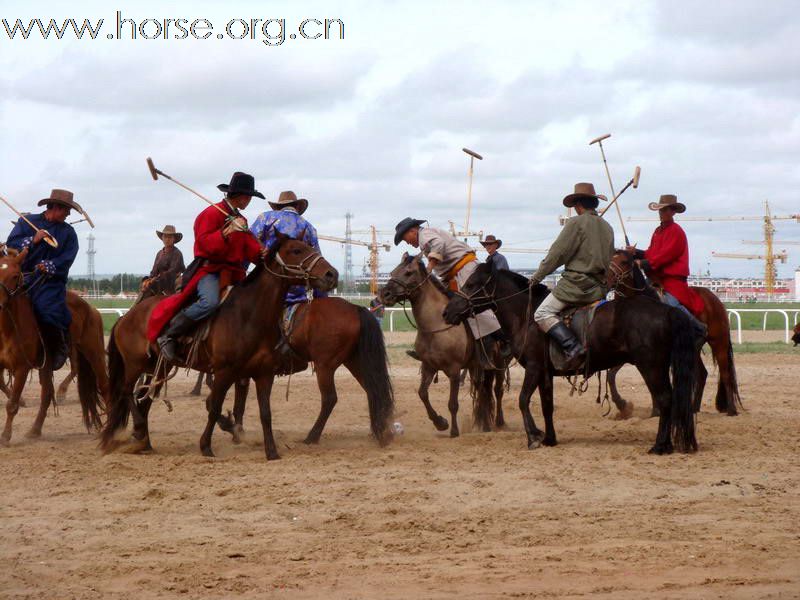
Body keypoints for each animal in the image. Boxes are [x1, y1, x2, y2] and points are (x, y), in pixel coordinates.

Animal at [0, 248, 104, 446]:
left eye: (15, 275)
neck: (8, 329)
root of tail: (91, 309)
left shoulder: (22, 368)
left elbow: (12, 404)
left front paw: (5, 436)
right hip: (48, 365)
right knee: (47, 394)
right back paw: (35, 430)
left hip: (93, 353)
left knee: (105, 383)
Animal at [216, 298, 396, 448]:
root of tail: (355, 308)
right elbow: (239, 402)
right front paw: (237, 433)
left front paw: (232, 429)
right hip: (354, 361)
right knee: (374, 390)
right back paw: (384, 432)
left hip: (324, 366)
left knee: (330, 399)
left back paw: (311, 437)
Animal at [378, 251, 510, 438]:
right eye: (393, 271)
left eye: (408, 272)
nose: (385, 294)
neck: (436, 325)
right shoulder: (429, 366)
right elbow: (422, 394)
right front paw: (440, 422)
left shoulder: (454, 370)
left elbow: (452, 403)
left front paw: (454, 430)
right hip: (476, 366)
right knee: (482, 390)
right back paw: (485, 424)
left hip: (499, 364)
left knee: (497, 391)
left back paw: (499, 422)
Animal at [440, 264, 696, 454]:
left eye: (472, 284)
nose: (447, 312)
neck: (527, 315)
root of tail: (665, 310)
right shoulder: (545, 373)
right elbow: (547, 405)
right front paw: (549, 439)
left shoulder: (533, 368)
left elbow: (523, 400)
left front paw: (533, 436)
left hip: (651, 366)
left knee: (665, 399)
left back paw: (660, 446)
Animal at [608, 251, 744, 420]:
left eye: (624, 261)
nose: (606, 278)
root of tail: (714, 299)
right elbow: (611, 375)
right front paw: (629, 407)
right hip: (693, 348)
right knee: (702, 374)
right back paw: (693, 408)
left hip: (719, 342)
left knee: (725, 374)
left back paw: (731, 409)